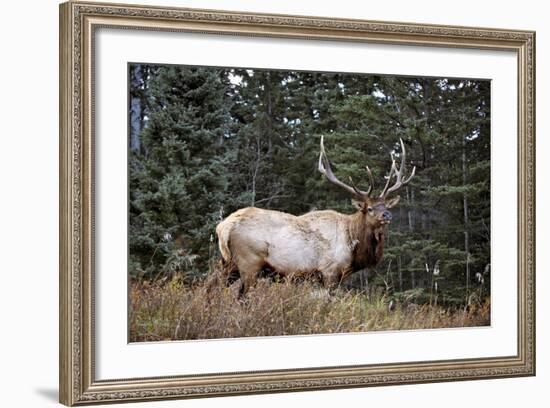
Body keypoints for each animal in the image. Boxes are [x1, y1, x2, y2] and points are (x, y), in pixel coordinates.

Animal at [217, 139, 418, 294]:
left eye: (385, 205)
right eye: (369, 208)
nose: (387, 214)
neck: (353, 243)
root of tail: (224, 227)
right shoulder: (330, 272)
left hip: (229, 263)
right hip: (249, 262)